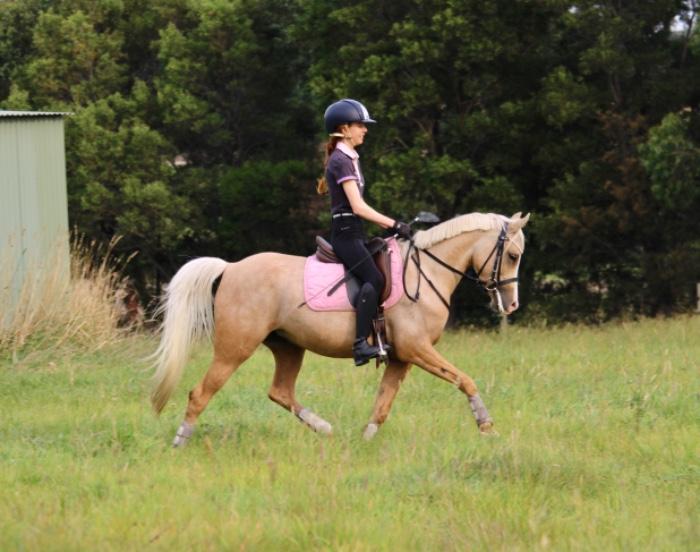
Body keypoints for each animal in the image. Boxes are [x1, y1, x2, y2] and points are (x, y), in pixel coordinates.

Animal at [150, 211, 530, 446]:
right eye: (512, 256)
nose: (511, 305)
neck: (425, 273)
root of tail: (229, 268)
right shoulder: (417, 348)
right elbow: (465, 379)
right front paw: (486, 424)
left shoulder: (401, 357)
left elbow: (383, 404)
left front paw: (365, 440)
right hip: (235, 348)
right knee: (200, 393)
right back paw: (180, 442)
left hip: (289, 347)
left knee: (280, 392)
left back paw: (324, 427)